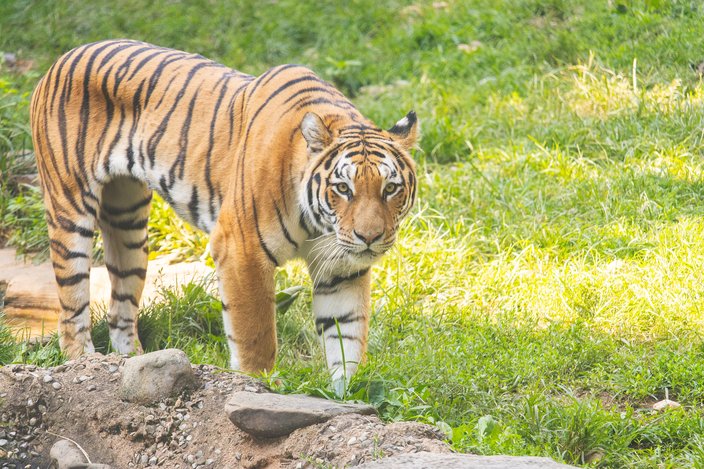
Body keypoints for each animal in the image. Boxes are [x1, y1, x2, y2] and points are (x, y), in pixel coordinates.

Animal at [29, 39, 418, 390]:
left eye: (390, 188)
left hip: (129, 222)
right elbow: (255, 331)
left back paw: (130, 362)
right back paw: (84, 363)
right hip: (70, 208)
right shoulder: (242, 249)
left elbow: (347, 335)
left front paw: (348, 392)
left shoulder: (341, 267)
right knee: (71, 308)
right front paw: (260, 383)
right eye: (343, 188)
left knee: (120, 309)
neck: (319, 224)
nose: (369, 237)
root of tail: (62, 58)